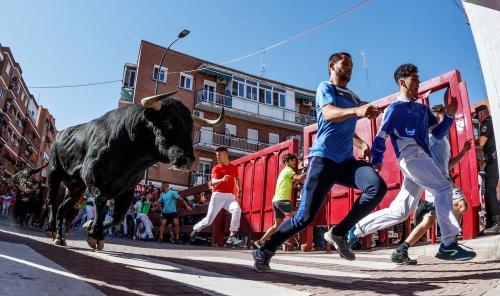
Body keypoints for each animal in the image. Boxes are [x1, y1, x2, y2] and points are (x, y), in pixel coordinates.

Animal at [46, 91, 224, 249]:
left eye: (190, 128)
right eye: (167, 122)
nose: (187, 158)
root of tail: (60, 134)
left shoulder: (128, 190)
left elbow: (118, 217)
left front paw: (89, 227)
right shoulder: (93, 177)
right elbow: (101, 203)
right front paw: (95, 235)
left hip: (76, 188)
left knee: (62, 209)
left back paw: (60, 237)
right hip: (54, 175)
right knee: (53, 203)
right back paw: (51, 230)